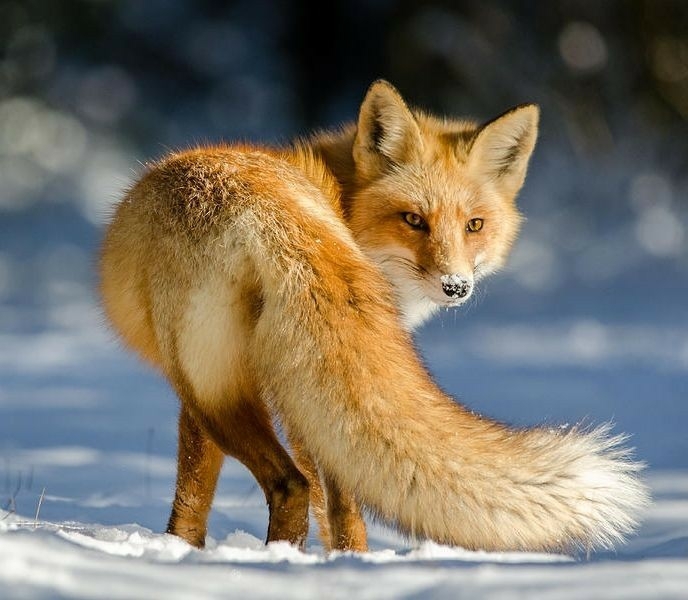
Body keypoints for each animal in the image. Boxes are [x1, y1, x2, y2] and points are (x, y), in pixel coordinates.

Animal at [99, 80, 648, 555]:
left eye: (474, 225)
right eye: (413, 220)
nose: (456, 287)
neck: (340, 201)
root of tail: (274, 213)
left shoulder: (224, 393)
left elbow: (194, 495)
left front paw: (178, 550)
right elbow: (334, 505)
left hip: (216, 389)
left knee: (291, 485)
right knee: (316, 491)